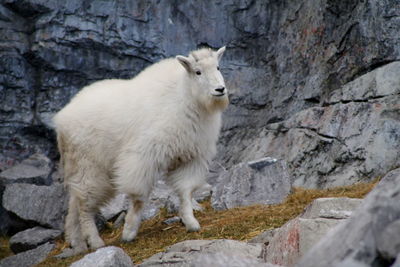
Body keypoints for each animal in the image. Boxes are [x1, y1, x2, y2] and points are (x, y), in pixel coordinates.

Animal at [53, 46, 228, 255]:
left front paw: (191, 223)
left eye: (218, 67)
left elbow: (186, 191)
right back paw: (95, 242)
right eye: (198, 71)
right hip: (89, 165)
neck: (185, 97)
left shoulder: (190, 157)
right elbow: (137, 198)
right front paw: (129, 232)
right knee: (85, 204)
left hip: (82, 167)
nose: (220, 90)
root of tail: (61, 119)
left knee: (75, 201)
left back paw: (77, 243)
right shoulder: (143, 156)